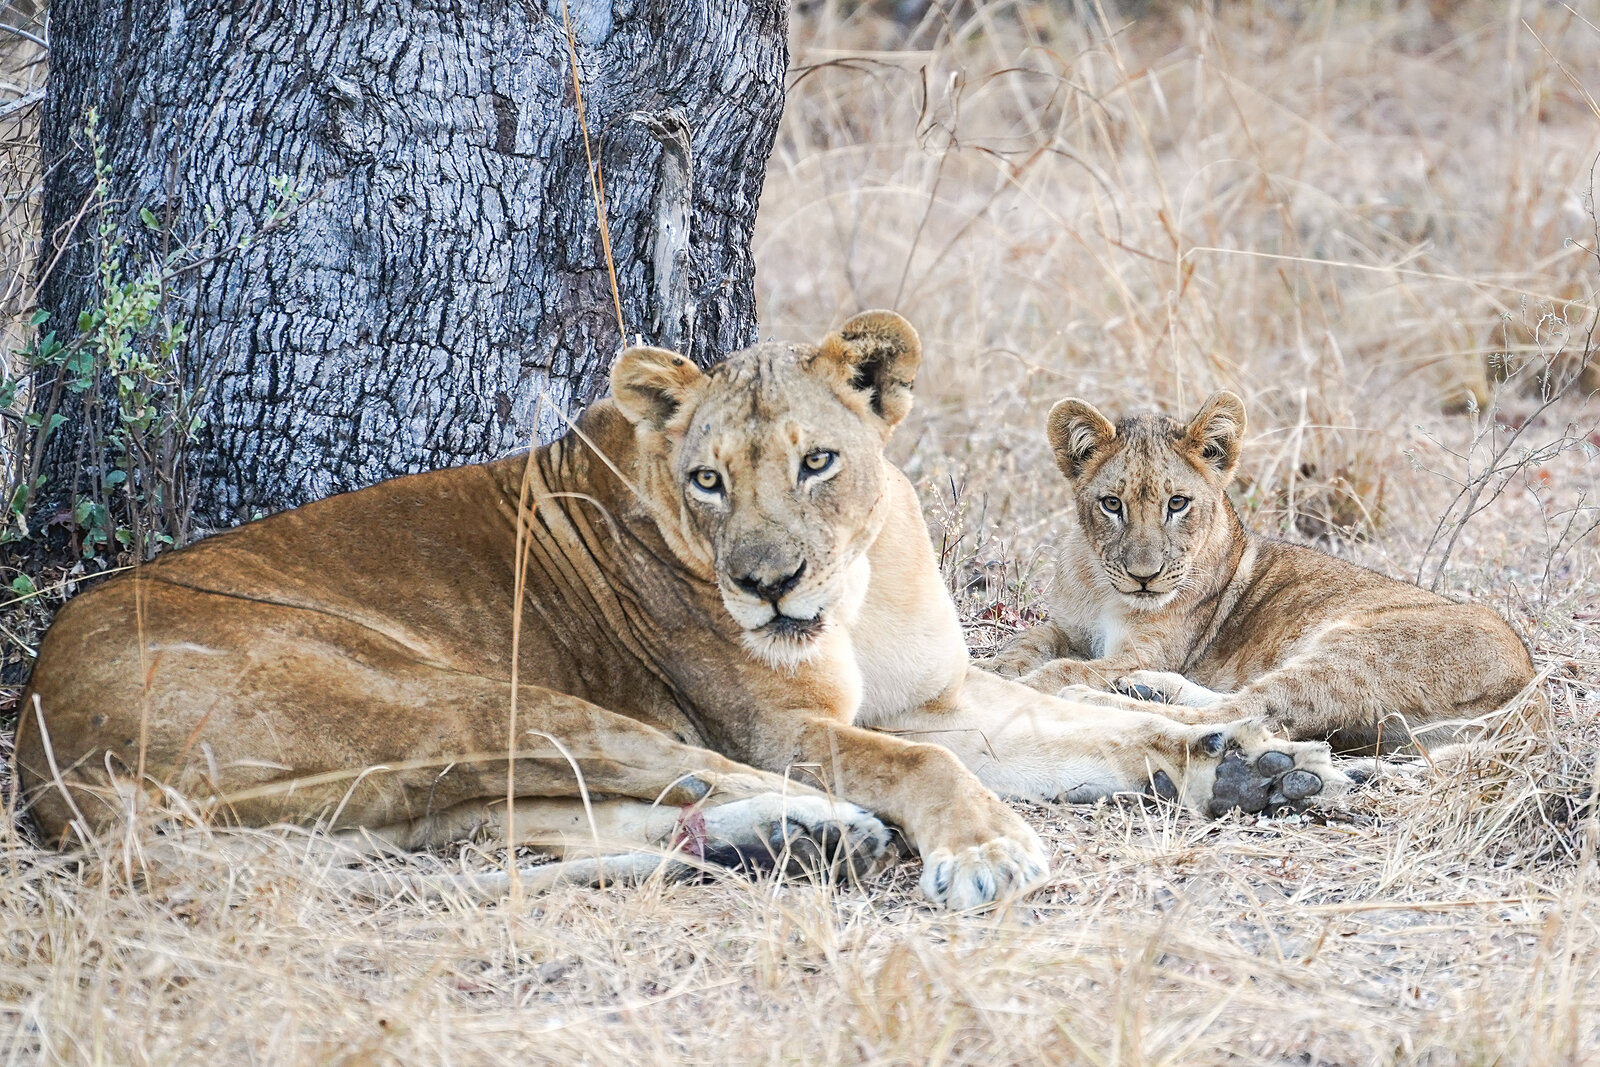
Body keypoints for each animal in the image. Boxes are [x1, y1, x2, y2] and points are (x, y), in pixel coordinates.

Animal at [14, 314, 1345, 909]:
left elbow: (1089, 727)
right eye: (706, 479)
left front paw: (1257, 757)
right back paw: (815, 827)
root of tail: (43, 731)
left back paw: (787, 840)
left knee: (508, 827)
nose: (764, 583)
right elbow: (922, 765)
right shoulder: (789, 722)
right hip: (464, 690)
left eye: (817, 460)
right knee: (653, 780)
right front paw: (983, 849)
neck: (857, 581)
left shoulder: (941, 695)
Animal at [981, 390, 1535, 753]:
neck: (1101, 586)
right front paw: (990, 670)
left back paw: (1104, 698)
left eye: (1177, 504)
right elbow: (1024, 645)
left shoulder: (1148, 648)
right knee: (1243, 708)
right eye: (1111, 504)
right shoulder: (1067, 628)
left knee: (1242, 715)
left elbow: (1066, 668)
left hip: (1353, 653)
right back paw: (1146, 686)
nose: (1144, 577)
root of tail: (1529, 683)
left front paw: (1034, 685)